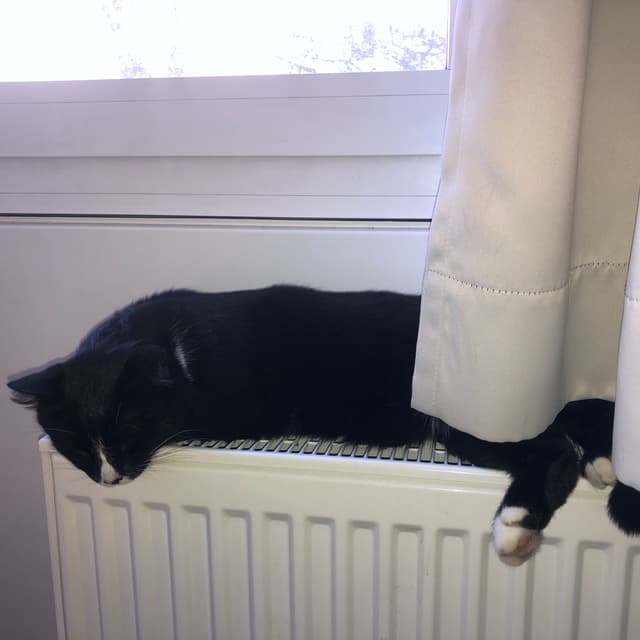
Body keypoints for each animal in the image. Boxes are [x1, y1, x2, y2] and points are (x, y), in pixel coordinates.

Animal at [7, 285, 639, 565]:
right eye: (70, 441)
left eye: (129, 427)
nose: (108, 478)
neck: (174, 350)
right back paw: (600, 464)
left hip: (472, 418)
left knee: (553, 452)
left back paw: (514, 528)